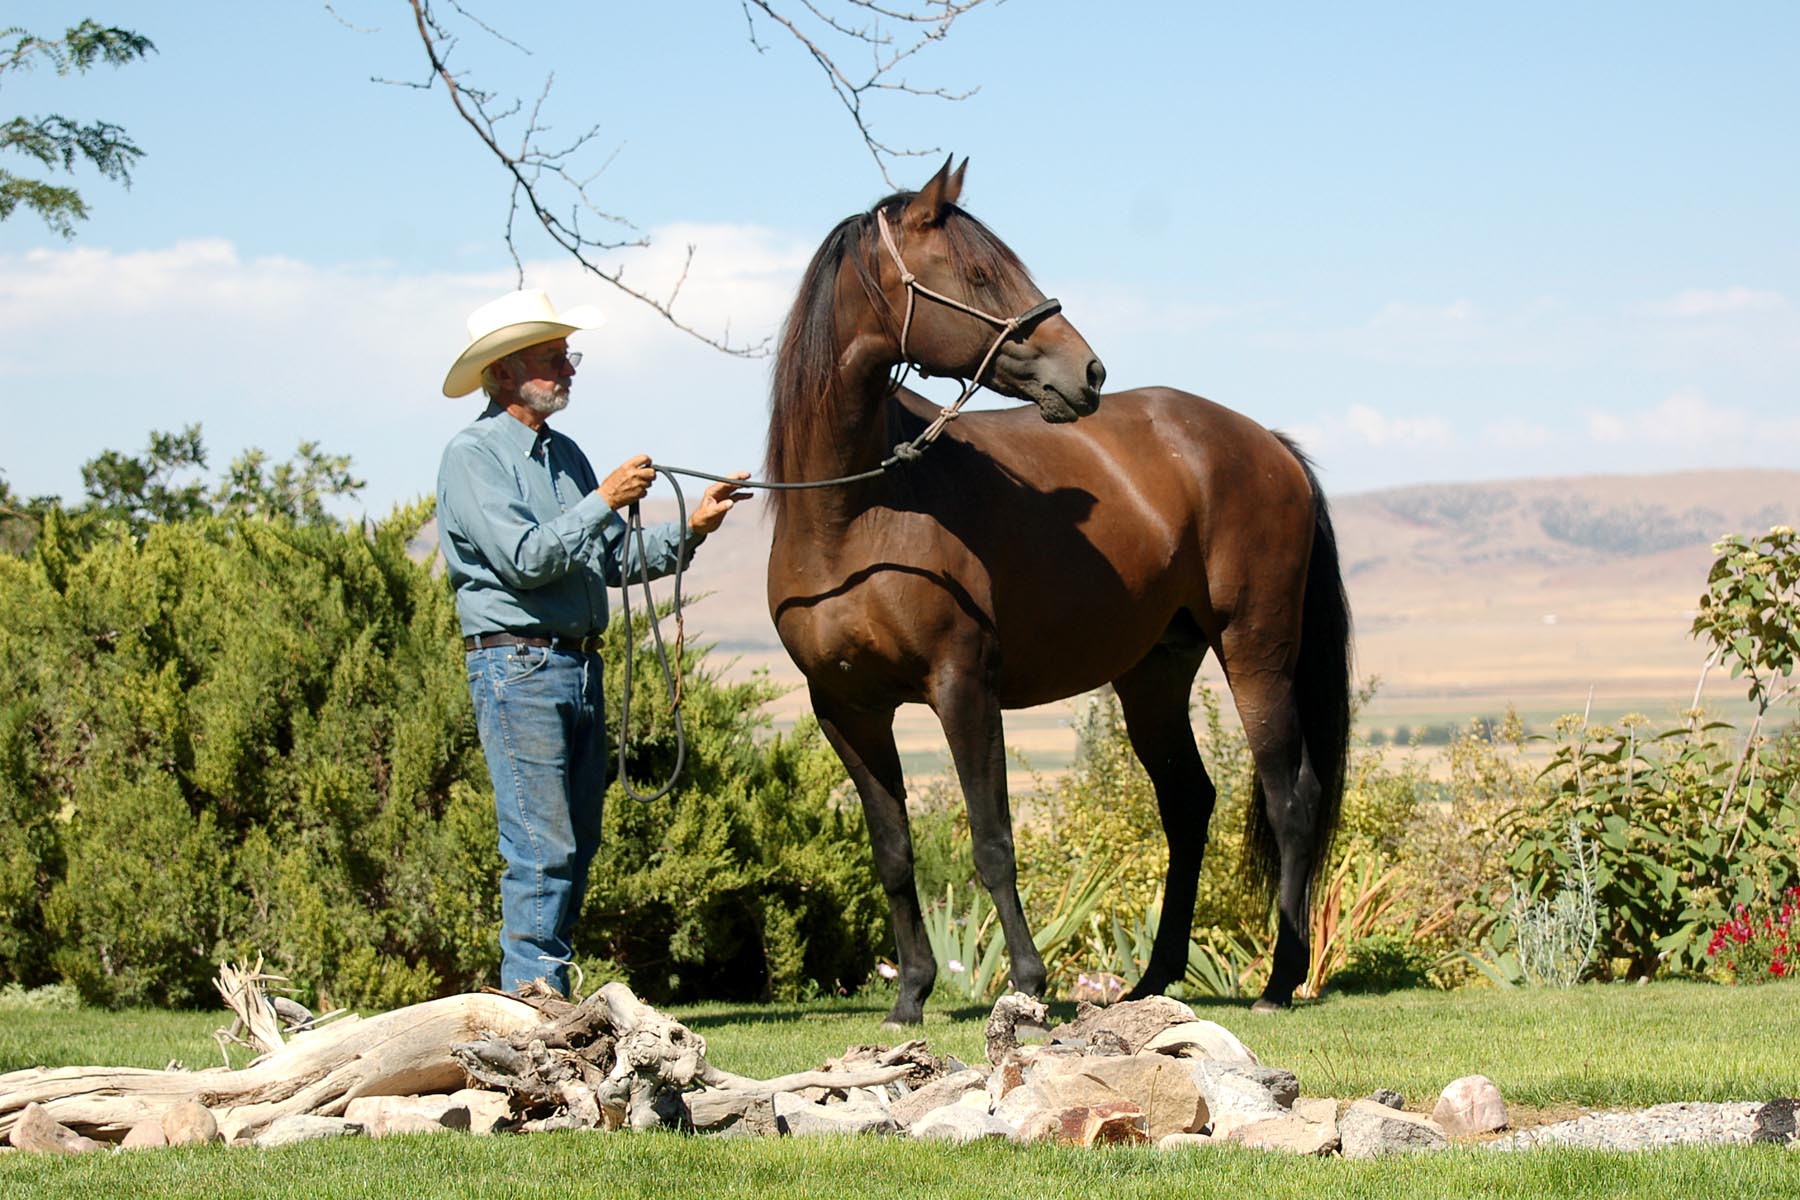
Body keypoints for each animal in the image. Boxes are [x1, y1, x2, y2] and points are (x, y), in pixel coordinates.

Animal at [764, 158, 1351, 1026]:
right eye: (978, 275)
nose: (1089, 371)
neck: (854, 514)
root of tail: (1265, 443)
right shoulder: (847, 710)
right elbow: (894, 851)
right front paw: (911, 996)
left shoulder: (963, 687)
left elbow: (991, 839)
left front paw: (1028, 982)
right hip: (1154, 674)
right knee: (1189, 805)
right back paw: (1153, 979)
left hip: (1255, 651)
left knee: (1290, 800)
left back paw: (1279, 981)